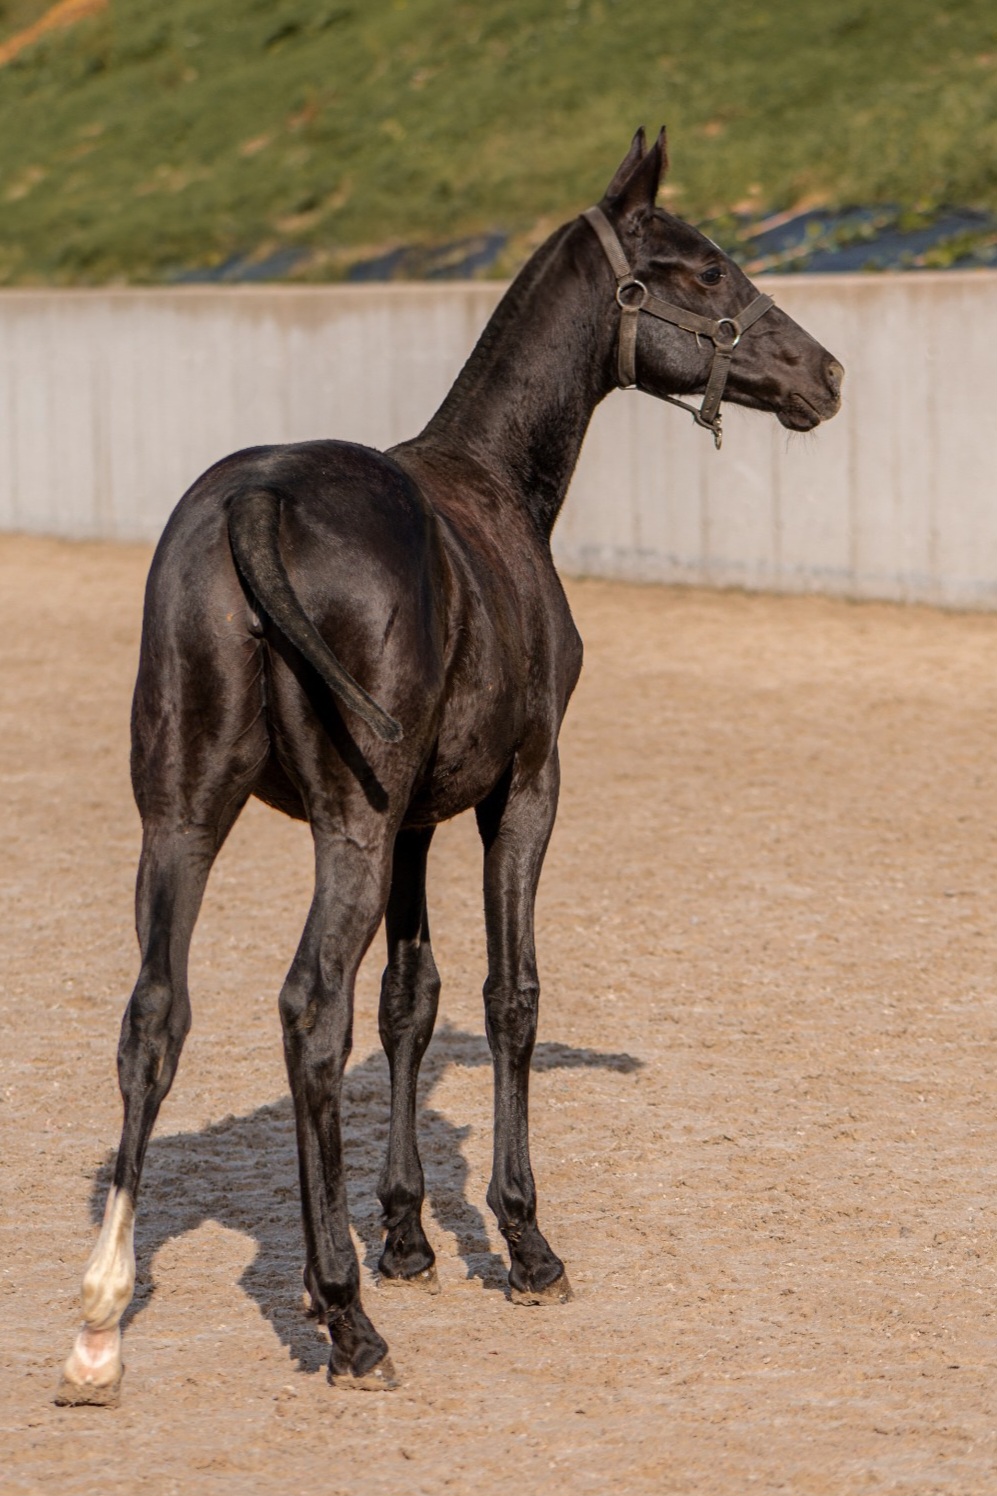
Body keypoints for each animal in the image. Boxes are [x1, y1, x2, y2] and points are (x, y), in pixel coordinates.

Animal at [58, 128, 842, 1404]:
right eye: (707, 268)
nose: (825, 372)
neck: (496, 483)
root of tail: (252, 503)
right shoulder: (521, 790)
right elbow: (506, 993)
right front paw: (519, 1241)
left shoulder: (420, 819)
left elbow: (409, 999)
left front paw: (409, 1231)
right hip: (349, 825)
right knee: (306, 1008)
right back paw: (344, 1316)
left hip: (182, 818)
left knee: (155, 1014)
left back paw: (99, 1321)